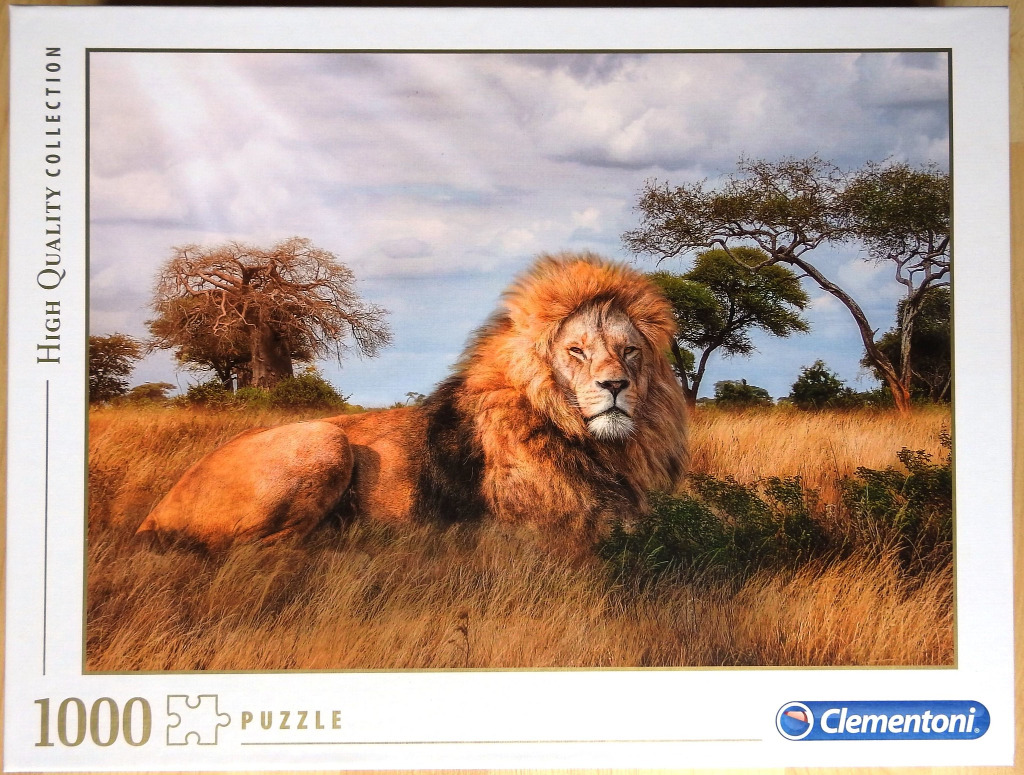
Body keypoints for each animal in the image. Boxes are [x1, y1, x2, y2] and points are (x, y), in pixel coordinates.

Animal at [135, 251, 689, 549]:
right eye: (576, 351)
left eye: (629, 351)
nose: (614, 386)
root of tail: (156, 509)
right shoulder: (550, 539)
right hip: (324, 437)